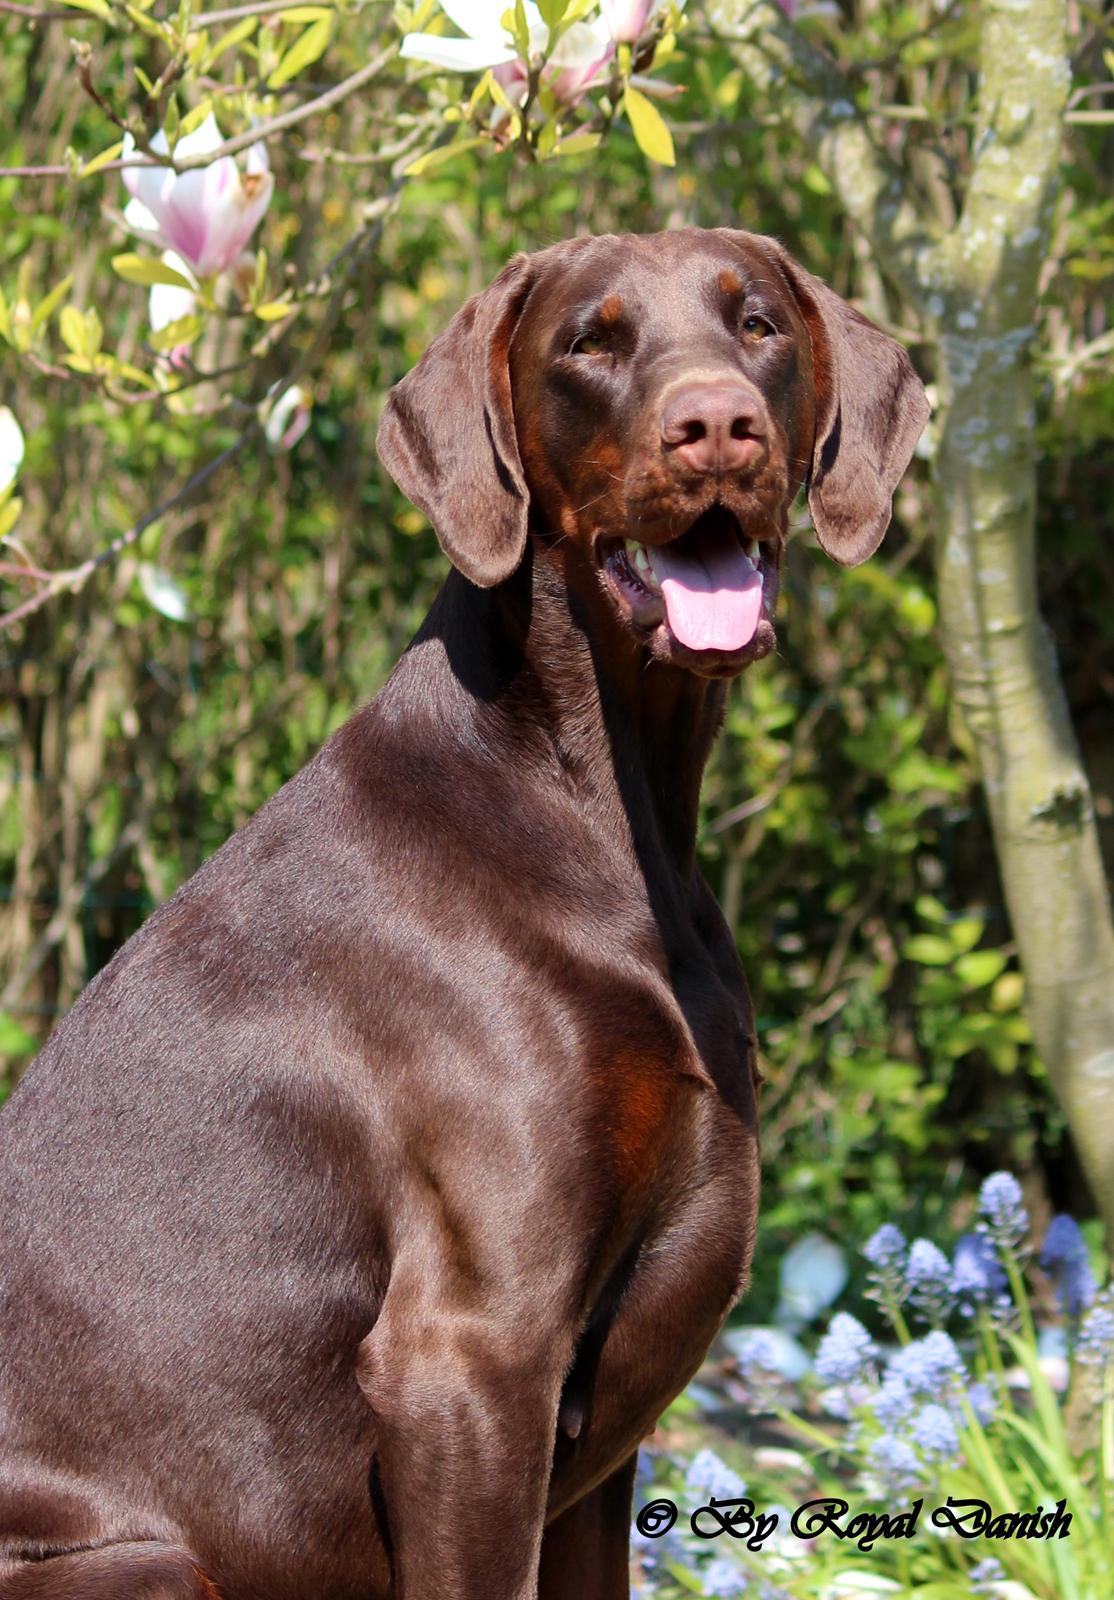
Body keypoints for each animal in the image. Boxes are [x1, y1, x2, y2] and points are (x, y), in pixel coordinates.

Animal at [0, 228, 921, 1600]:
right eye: (589, 342)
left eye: (756, 322)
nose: (717, 428)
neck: (602, 806)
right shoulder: (469, 1356)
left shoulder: (585, 1445)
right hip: (138, 1559)